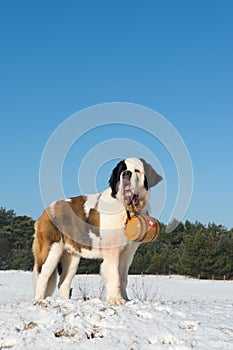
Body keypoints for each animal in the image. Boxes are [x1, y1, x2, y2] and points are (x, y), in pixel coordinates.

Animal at [32, 158, 162, 304]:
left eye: (137, 171)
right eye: (121, 171)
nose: (126, 174)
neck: (126, 208)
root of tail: (45, 211)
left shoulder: (127, 252)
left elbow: (123, 277)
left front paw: (125, 299)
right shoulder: (112, 251)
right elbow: (114, 275)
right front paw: (116, 300)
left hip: (71, 257)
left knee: (63, 283)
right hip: (52, 251)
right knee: (43, 277)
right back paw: (39, 300)